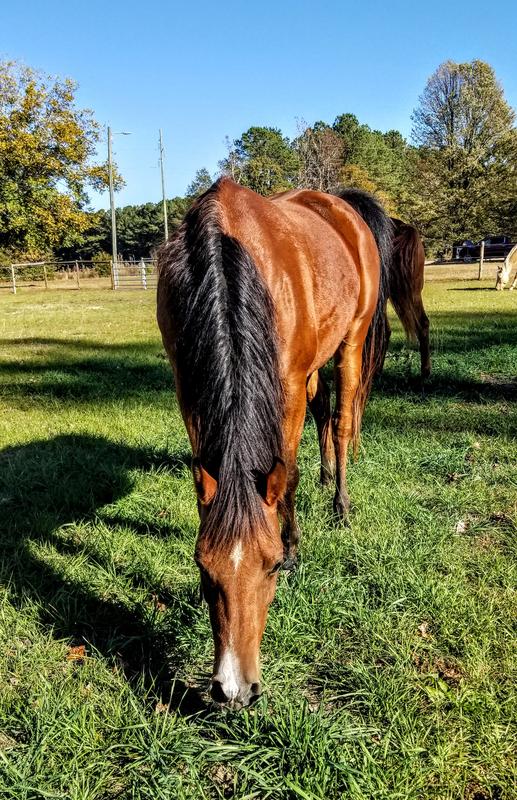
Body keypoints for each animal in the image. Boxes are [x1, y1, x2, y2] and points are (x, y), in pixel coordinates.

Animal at [157, 177, 392, 706]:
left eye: (271, 567)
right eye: (203, 568)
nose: (233, 690)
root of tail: (340, 205)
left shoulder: (286, 385)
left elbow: (287, 473)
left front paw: (297, 546)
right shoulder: (189, 389)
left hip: (349, 341)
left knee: (340, 421)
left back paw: (340, 505)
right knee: (325, 412)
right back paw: (327, 477)